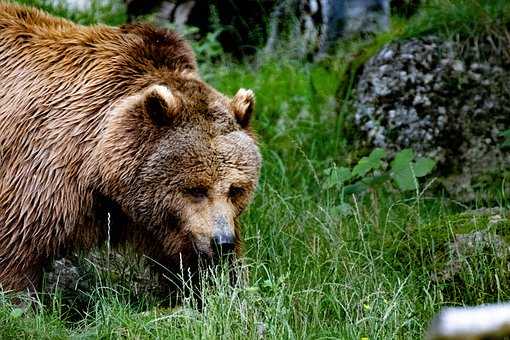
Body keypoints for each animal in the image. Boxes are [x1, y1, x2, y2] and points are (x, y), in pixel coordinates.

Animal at [0, 1, 260, 292]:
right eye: (196, 189)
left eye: (236, 189)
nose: (222, 242)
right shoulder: (45, 169)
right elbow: (19, 245)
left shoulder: (165, 220)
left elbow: (188, 264)